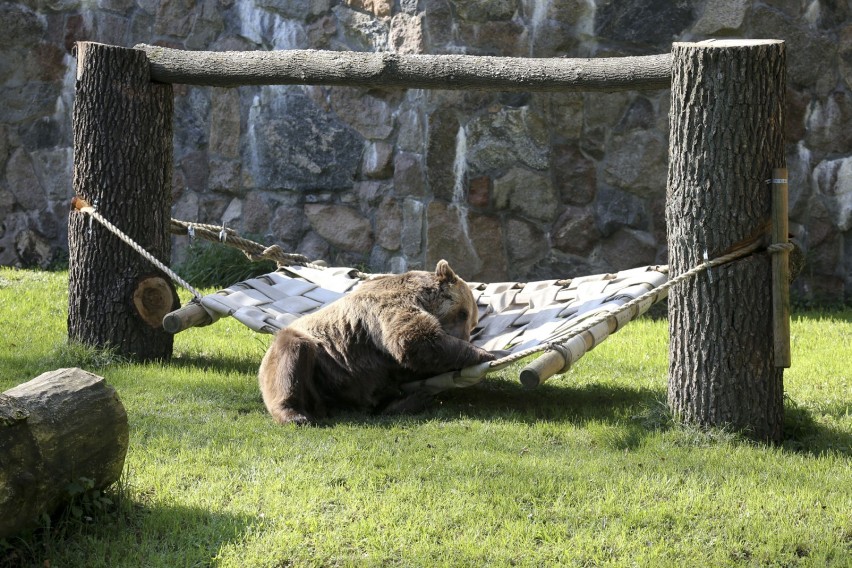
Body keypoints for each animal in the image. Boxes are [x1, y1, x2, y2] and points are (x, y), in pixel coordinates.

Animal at [256, 260, 492, 424]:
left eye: (472, 322)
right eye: (463, 313)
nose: (464, 336)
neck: (424, 298)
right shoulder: (389, 306)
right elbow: (414, 340)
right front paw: (485, 353)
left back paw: (411, 400)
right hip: (322, 364)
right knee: (291, 357)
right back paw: (294, 414)